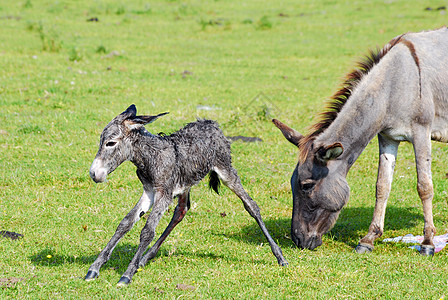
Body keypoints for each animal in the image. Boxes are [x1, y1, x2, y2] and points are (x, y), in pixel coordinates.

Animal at [85, 105, 288, 286]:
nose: (94, 174)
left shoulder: (163, 193)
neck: (150, 158)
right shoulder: (149, 191)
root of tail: (210, 123)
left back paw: (280, 257)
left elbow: (147, 231)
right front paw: (94, 268)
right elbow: (125, 223)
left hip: (226, 170)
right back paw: (145, 258)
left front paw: (126, 275)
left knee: (251, 206)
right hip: (185, 185)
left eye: (111, 143)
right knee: (181, 211)